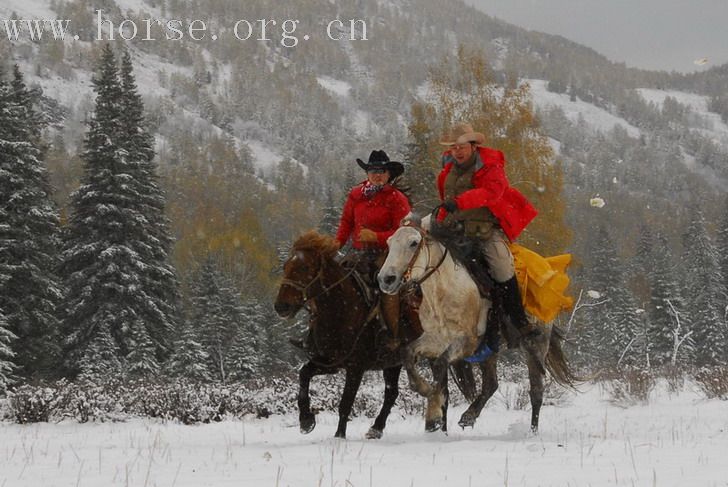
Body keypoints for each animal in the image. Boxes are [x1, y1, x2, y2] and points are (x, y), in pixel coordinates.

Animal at [276, 231, 430, 440]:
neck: (339, 309)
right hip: (393, 363)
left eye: (304, 267)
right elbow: (304, 375)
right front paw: (306, 420)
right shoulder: (330, 363)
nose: (281, 306)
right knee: (392, 393)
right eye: (285, 266)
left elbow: (345, 403)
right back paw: (376, 428)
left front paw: (339, 436)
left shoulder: (356, 367)